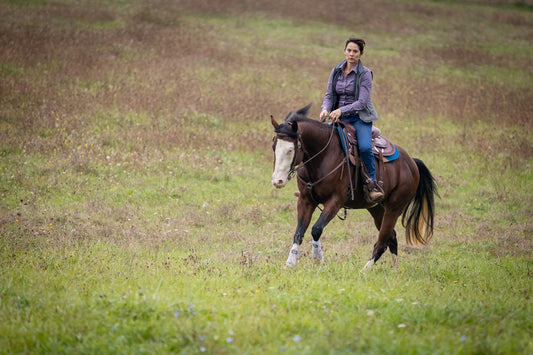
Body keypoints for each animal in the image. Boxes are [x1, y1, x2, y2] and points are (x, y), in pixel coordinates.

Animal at [270, 104, 436, 272]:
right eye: (273, 146)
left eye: (290, 150)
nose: (278, 181)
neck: (323, 157)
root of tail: (412, 163)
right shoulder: (305, 200)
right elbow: (299, 232)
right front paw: (290, 264)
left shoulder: (335, 201)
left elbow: (316, 229)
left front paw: (318, 257)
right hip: (376, 208)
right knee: (392, 238)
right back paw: (393, 270)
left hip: (395, 208)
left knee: (382, 241)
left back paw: (364, 271)